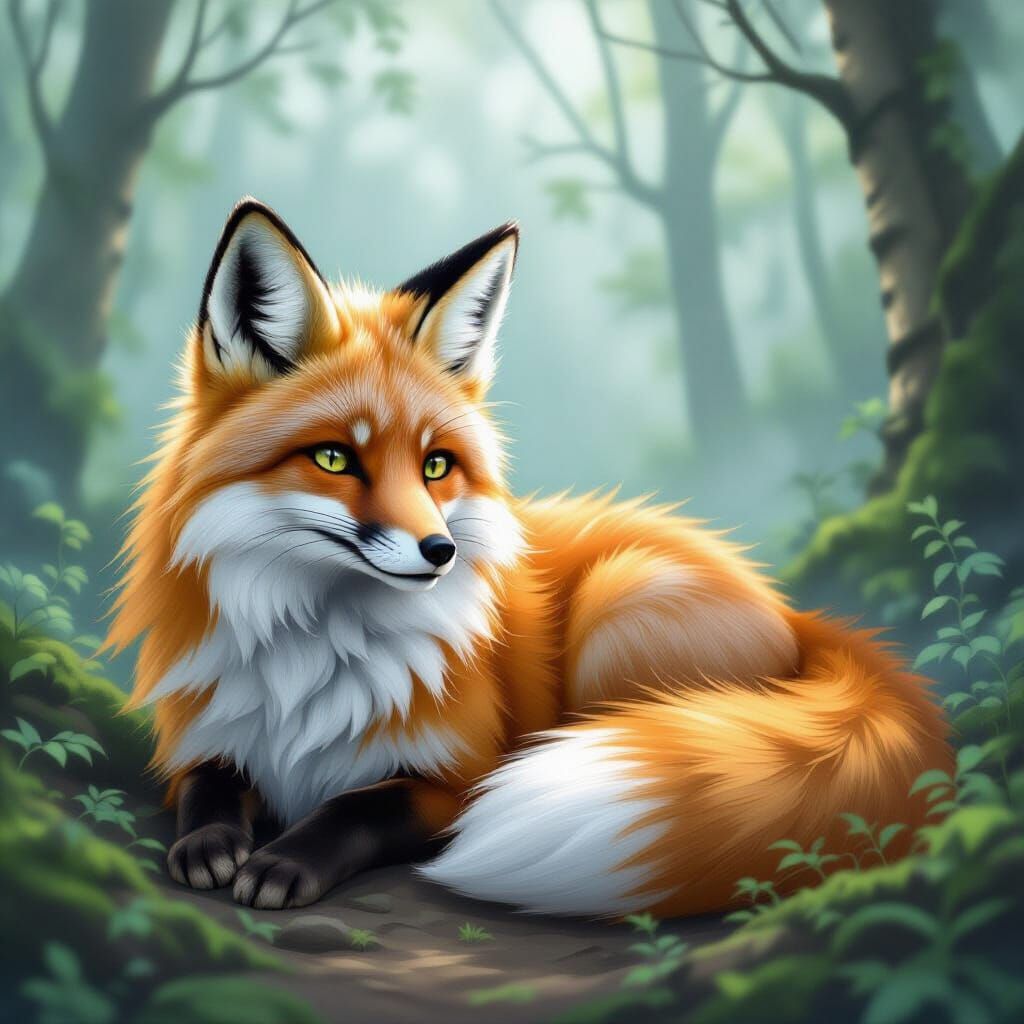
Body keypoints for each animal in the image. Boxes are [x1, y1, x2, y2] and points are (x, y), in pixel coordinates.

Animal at [110, 198, 952, 917]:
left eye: (436, 466)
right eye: (333, 458)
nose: (440, 552)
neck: (314, 664)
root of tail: (791, 608)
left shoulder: (455, 779)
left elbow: (355, 807)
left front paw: (286, 858)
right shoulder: (207, 733)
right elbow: (208, 783)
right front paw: (210, 841)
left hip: (618, 619)